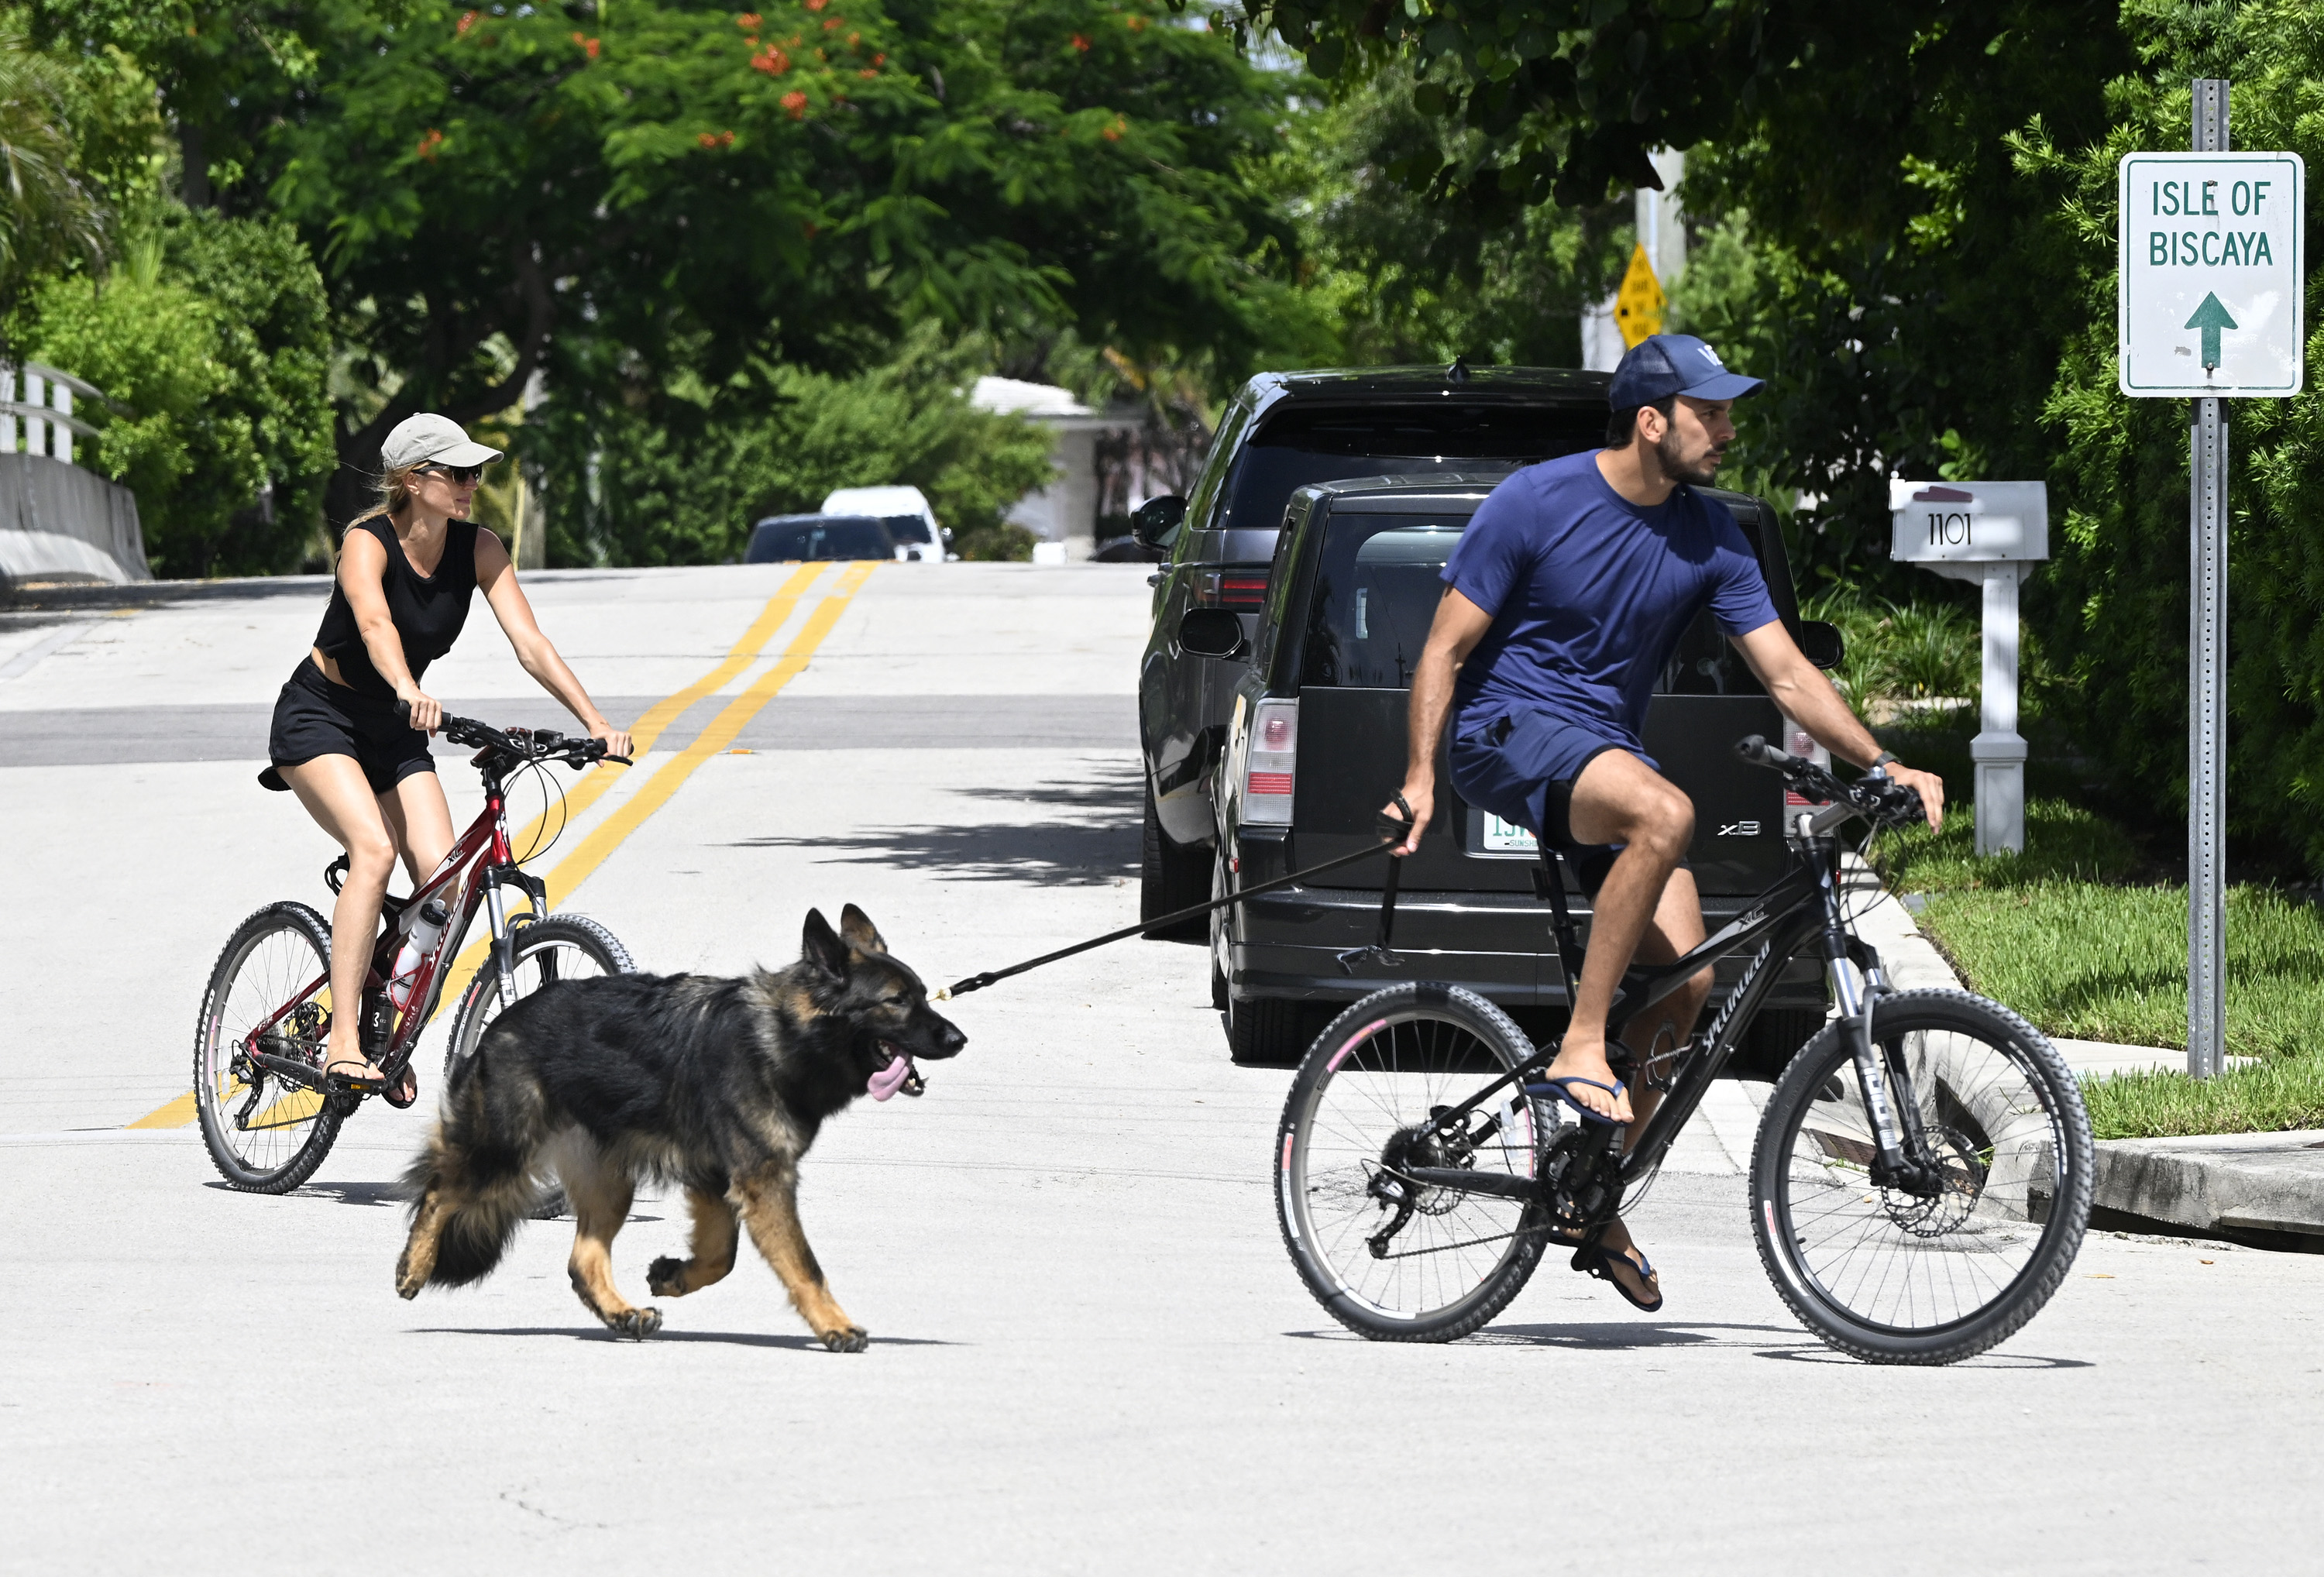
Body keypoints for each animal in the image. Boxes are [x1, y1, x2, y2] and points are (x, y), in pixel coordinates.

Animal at [395, 905, 957, 1347]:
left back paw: (623, 1315)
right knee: (439, 1192)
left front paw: (672, 1277)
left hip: (608, 1182)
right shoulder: (763, 1182)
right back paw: (413, 1268)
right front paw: (835, 1326)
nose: (958, 1038)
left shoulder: (718, 1181)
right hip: (502, 1149)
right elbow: (803, 1265)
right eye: (897, 1001)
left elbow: (721, 1257)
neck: (781, 1035)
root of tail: (504, 1019)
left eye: (922, 995)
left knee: (583, 1260)